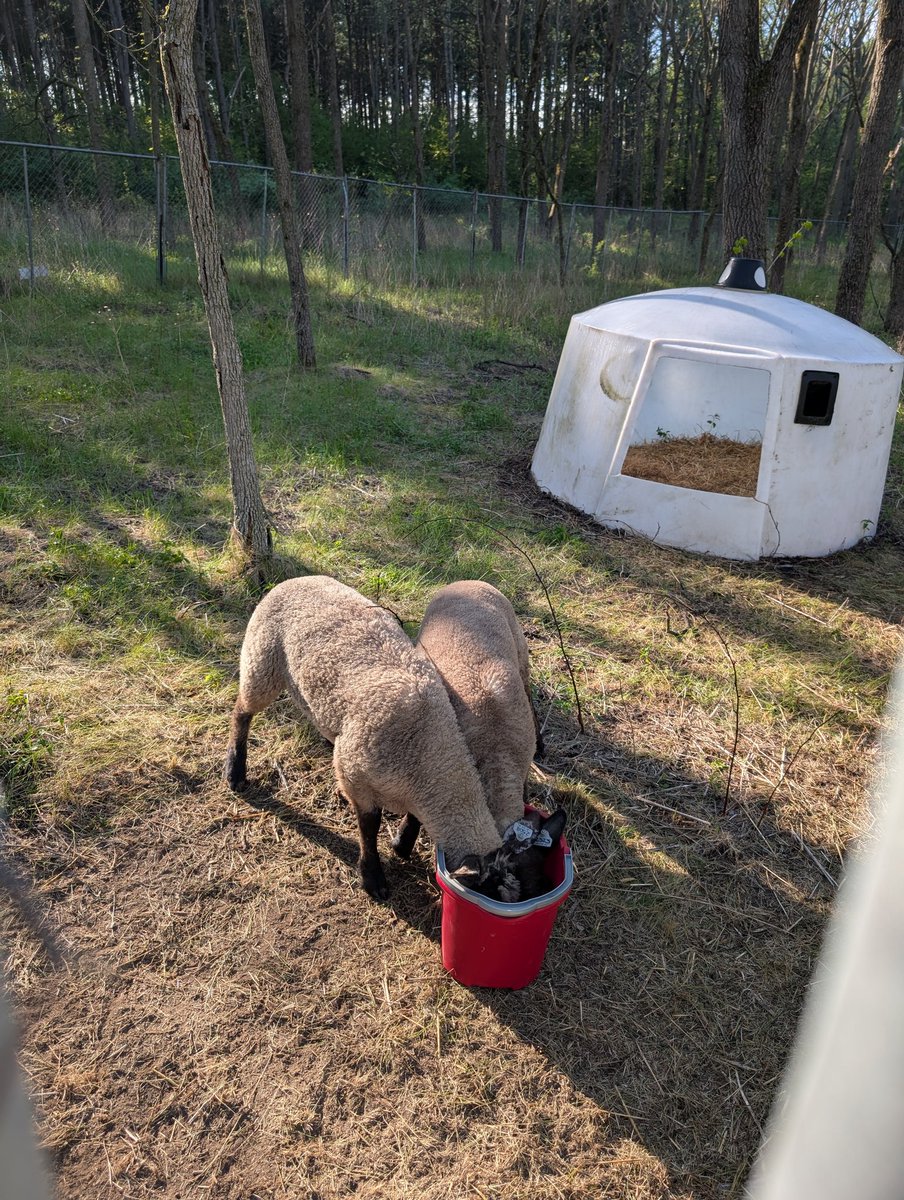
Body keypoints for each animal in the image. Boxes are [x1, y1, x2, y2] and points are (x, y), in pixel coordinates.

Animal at [223, 574, 509, 901]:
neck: (428, 749)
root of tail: (294, 579)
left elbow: (412, 818)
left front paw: (402, 845)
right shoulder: (357, 777)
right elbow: (369, 828)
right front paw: (374, 878)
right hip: (262, 661)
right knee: (242, 712)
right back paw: (235, 771)